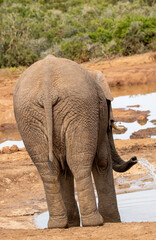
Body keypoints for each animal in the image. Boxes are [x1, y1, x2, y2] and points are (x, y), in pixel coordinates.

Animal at [13, 54, 136, 229]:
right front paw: (113, 221)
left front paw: (72, 224)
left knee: (50, 169)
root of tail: (47, 88)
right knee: (78, 163)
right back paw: (94, 222)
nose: (134, 158)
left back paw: (58, 225)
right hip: (79, 110)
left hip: (30, 117)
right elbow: (102, 161)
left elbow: (64, 169)